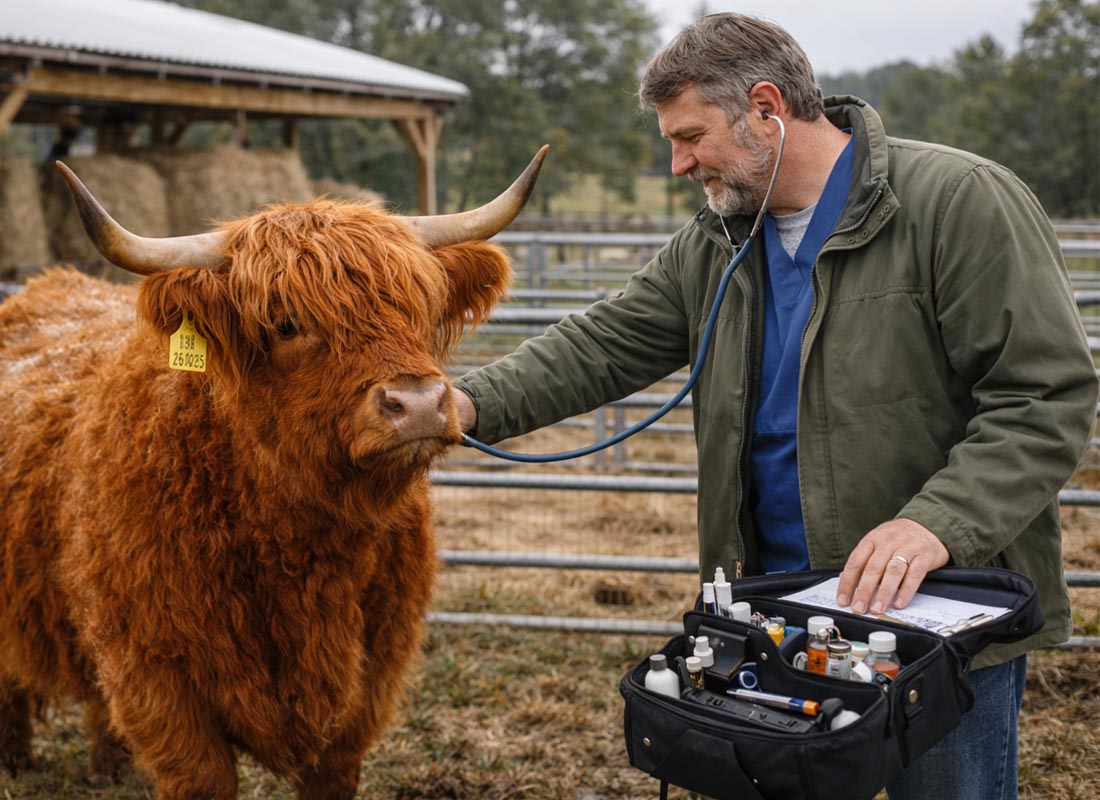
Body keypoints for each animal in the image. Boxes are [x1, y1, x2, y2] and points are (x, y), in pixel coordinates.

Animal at [0, 147, 546, 799]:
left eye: (421, 306)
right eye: (286, 323)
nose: (417, 404)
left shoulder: (367, 683)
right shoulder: (157, 679)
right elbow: (200, 776)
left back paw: (108, 764)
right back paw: (17, 756)